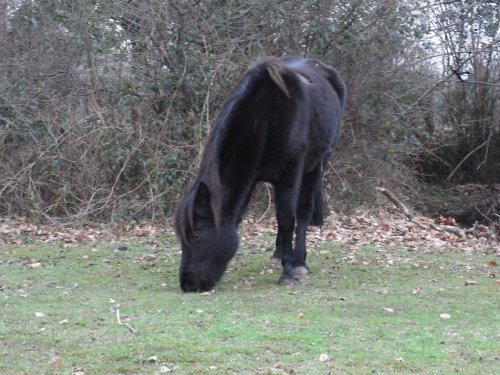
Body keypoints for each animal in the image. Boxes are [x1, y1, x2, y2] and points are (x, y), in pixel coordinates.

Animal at [175, 55, 344, 292]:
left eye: (196, 235)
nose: (188, 284)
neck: (266, 119)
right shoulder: (257, 178)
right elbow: (279, 218)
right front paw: (282, 259)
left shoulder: (290, 174)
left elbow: (287, 219)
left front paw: (289, 272)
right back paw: (278, 255)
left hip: (317, 165)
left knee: (303, 211)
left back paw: (300, 261)